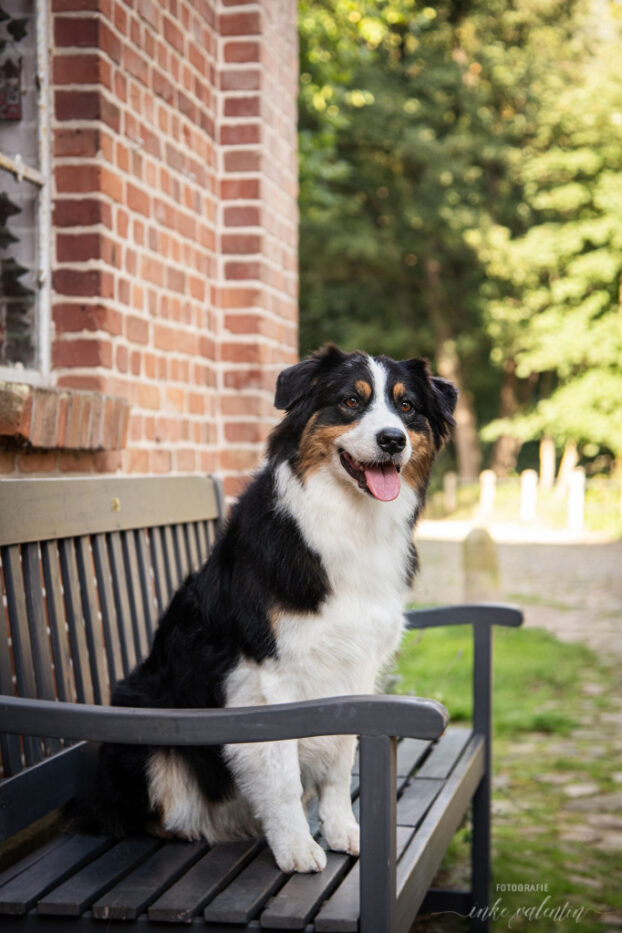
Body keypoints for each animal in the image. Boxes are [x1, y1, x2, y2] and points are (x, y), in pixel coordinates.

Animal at [80, 344, 458, 872]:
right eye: (350, 401)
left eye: (407, 407)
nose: (392, 440)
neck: (347, 522)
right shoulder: (272, 675)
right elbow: (281, 774)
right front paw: (297, 847)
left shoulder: (355, 669)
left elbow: (341, 760)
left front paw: (343, 831)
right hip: (145, 730)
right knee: (135, 813)